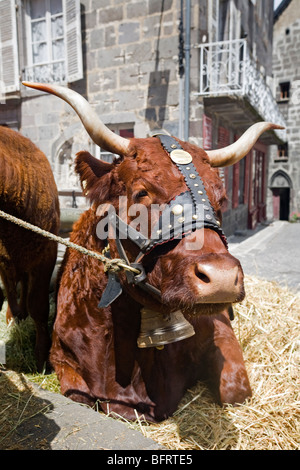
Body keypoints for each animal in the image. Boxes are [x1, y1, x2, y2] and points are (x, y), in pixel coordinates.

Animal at [24, 81, 284, 422]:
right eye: (141, 192)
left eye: (221, 199)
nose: (222, 278)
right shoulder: (62, 358)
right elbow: (77, 395)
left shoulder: (221, 331)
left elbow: (235, 391)